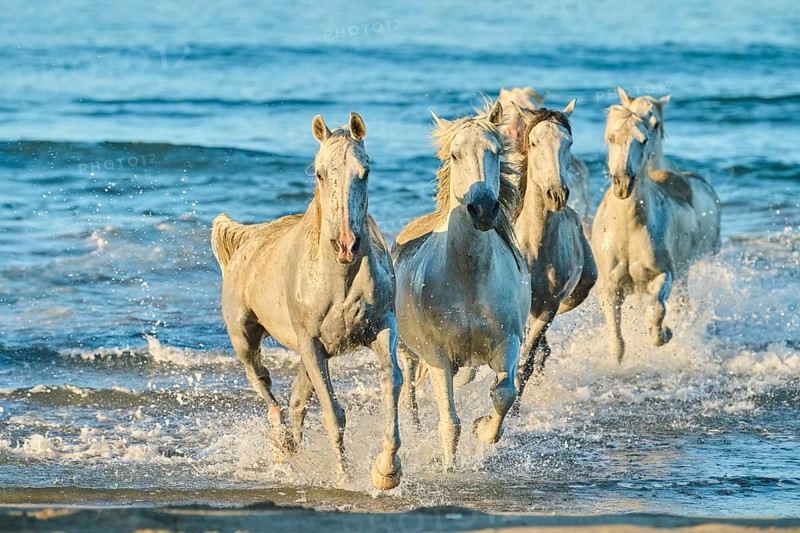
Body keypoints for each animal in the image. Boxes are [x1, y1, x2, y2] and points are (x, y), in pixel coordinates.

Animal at [210, 112, 403, 490]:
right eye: (318, 172)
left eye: (365, 171)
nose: (346, 244)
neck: (338, 279)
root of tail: (247, 240)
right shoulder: (311, 342)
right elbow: (332, 414)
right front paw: (344, 476)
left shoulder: (381, 328)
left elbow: (391, 382)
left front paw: (386, 470)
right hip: (246, 337)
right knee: (262, 381)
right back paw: (280, 441)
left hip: (312, 352)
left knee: (297, 398)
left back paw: (292, 448)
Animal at [393, 101, 530, 468]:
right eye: (455, 155)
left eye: (496, 152)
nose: (482, 209)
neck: (469, 279)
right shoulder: (439, 358)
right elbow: (449, 424)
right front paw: (449, 469)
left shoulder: (508, 342)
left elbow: (504, 394)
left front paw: (483, 430)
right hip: (409, 350)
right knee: (410, 384)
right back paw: (413, 424)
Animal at [592, 105, 721, 362]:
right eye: (611, 138)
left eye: (643, 140)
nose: (623, 183)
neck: (627, 229)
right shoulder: (609, 287)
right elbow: (617, 342)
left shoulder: (663, 274)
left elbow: (657, 309)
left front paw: (662, 334)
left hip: (685, 270)